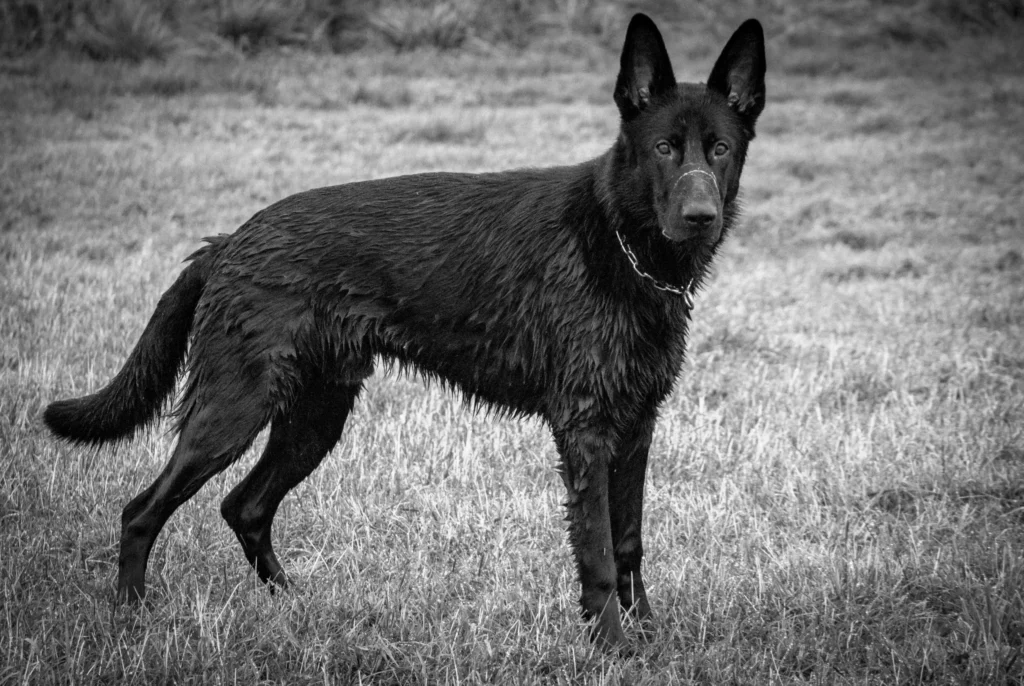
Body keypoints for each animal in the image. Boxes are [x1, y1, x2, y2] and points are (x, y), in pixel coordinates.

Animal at [44, 13, 765, 651]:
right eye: (664, 148)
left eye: (720, 149)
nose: (700, 217)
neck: (625, 246)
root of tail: (228, 241)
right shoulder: (585, 432)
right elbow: (598, 555)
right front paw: (613, 648)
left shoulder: (637, 426)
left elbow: (630, 541)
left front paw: (649, 637)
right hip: (232, 413)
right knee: (142, 511)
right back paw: (132, 616)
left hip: (314, 420)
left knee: (244, 508)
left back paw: (296, 606)